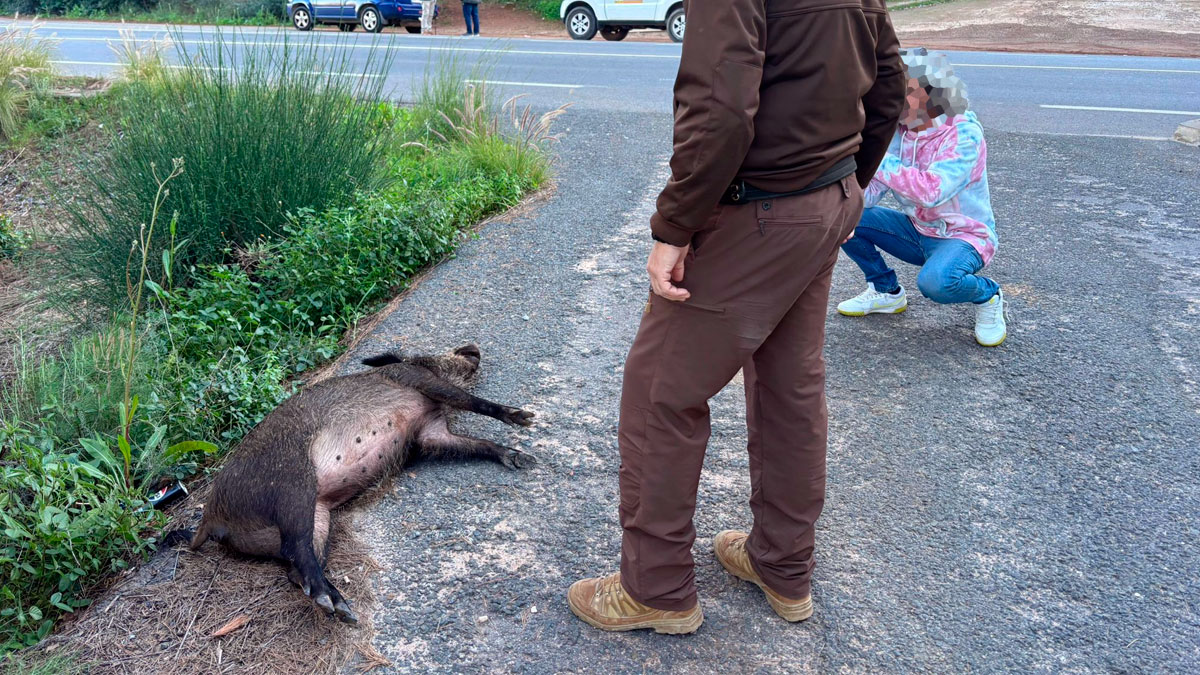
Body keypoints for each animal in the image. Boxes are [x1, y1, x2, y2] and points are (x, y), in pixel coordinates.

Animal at [163, 344, 535, 623]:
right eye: (432, 352)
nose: (472, 348)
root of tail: (211, 517)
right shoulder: (414, 378)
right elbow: (470, 401)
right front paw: (525, 418)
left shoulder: (428, 433)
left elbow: (471, 442)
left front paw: (523, 459)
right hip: (293, 484)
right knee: (296, 549)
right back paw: (338, 606)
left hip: (319, 517)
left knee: (294, 569)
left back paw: (337, 608)